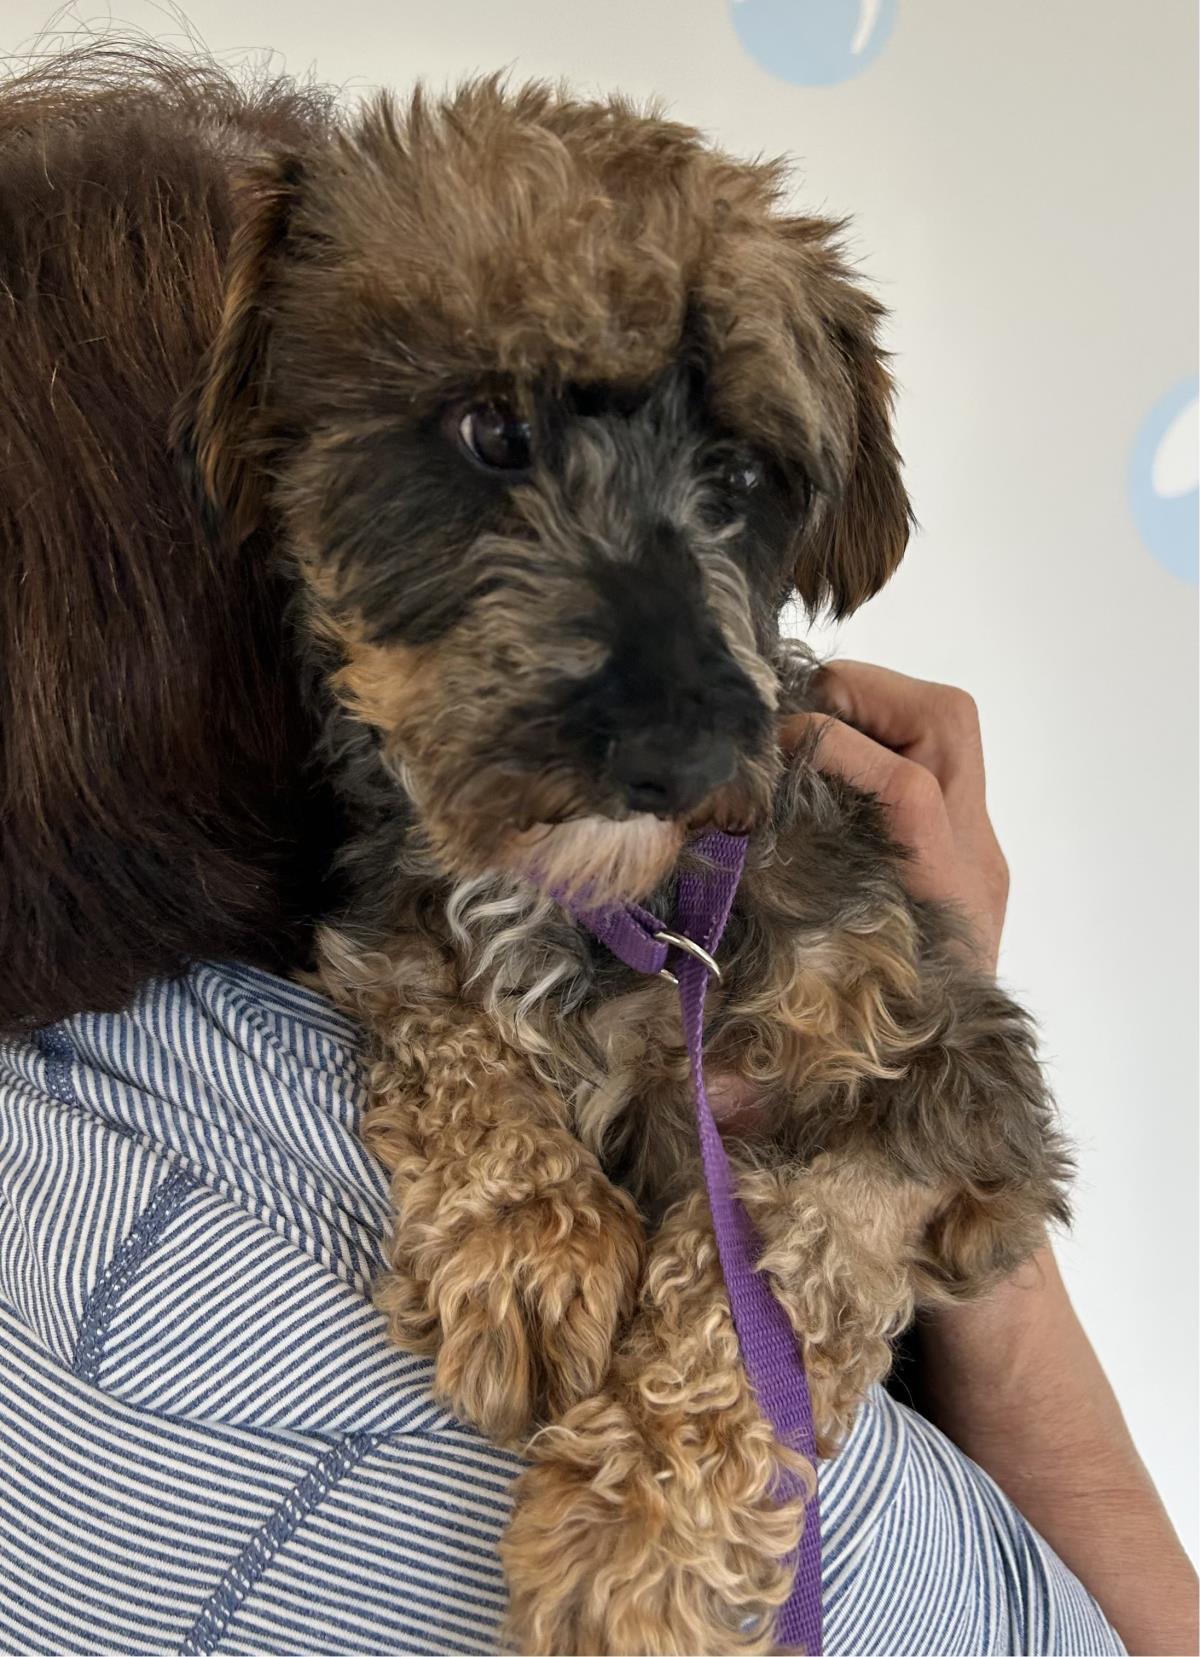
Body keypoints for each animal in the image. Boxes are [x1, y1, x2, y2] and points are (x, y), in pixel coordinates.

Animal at [0, 45, 1067, 1650]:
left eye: (744, 478)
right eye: (491, 431)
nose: (679, 748)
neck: (623, 916)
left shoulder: (950, 1093)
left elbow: (781, 1260)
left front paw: (643, 1534)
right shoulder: (391, 923)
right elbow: (457, 1025)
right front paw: (531, 1240)